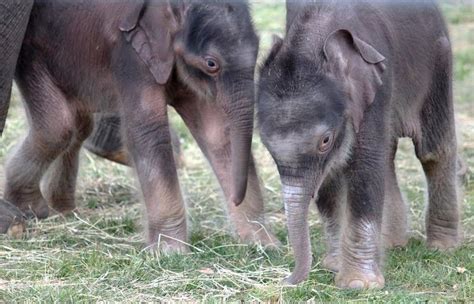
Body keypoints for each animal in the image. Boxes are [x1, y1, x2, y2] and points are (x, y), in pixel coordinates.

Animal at [258, 1, 462, 288]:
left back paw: (442, 247)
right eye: (265, 143)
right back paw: (392, 244)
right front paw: (334, 266)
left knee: (433, 151)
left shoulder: (375, 86)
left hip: (439, 59)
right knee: (386, 157)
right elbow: (332, 176)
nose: (286, 281)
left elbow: (364, 167)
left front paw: (358, 285)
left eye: (325, 141)